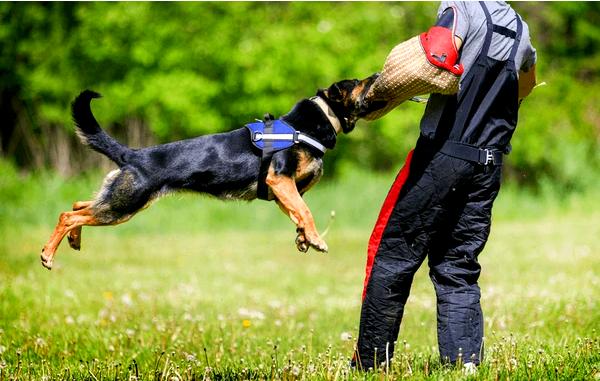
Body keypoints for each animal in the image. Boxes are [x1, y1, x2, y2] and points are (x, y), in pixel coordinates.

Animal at [41, 75, 380, 268]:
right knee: (68, 215)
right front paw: (316, 238)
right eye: (357, 82)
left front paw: (304, 239)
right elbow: (306, 211)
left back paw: (73, 241)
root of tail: (132, 154)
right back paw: (47, 253)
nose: (377, 73)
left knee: (78, 205)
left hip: (120, 200)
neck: (309, 126)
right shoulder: (280, 180)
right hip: (124, 205)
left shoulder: (283, 191)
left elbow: (299, 213)